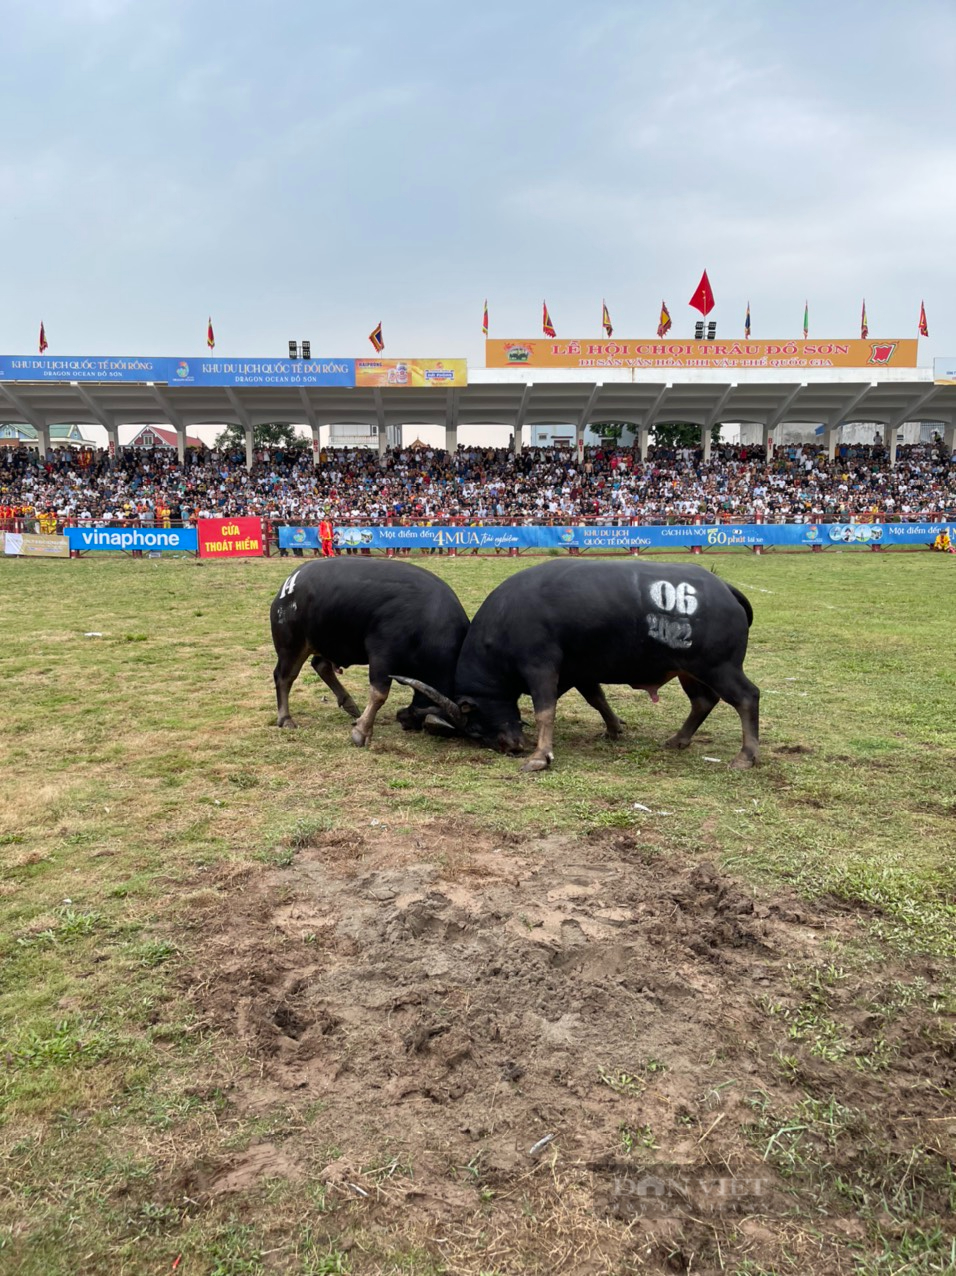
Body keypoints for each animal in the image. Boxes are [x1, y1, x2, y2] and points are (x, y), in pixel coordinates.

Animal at [270, 558, 467, 745]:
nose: (402, 719)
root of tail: (290, 582)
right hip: (291, 645)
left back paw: (350, 704)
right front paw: (361, 732)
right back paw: (286, 719)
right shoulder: (382, 655)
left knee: (320, 665)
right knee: (284, 676)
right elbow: (379, 694)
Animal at [390, 561, 755, 775]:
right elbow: (597, 700)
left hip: (719, 668)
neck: (508, 619)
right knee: (703, 702)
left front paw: (540, 755)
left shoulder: (541, 668)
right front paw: (614, 729)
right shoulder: (580, 672)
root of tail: (724, 588)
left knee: (747, 698)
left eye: (476, 728)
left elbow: (545, 711)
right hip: (689, 671)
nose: (510, 747)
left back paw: (746, 755)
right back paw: (679, 740)